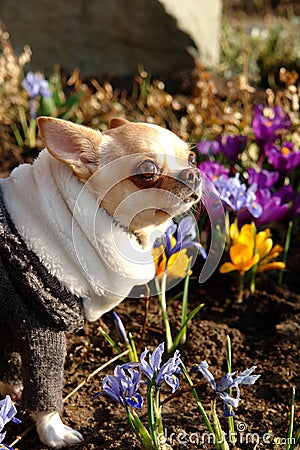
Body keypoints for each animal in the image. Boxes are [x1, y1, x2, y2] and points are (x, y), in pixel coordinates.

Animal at [0, 117, 202, 446]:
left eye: (192, 158)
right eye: (148, 170)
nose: (194, 173)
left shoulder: (11, 323)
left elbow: (8, 362)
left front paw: (11, 390)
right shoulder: (40, 328)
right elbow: (45, 387)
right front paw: (53, 432)